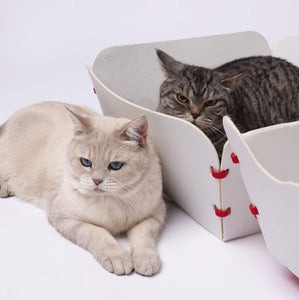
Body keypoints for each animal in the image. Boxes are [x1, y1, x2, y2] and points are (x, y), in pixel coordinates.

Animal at [0, 102, 166, 276]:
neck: (113, 201)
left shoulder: (154, 215)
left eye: (115, 165)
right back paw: (4, 188)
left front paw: (146, 260)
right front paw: (118, 257)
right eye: (86, 162)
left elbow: (143, 238)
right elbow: (99, 235)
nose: (97, 180)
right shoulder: (68, 220)